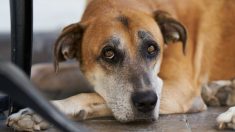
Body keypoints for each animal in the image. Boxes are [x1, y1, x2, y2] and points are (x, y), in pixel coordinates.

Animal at [4, 0, 235, 131]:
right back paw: (221, 91)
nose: (147, 102)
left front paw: (41, 111)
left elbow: (94, 96)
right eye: (109, 53)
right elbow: (37, 71)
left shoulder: (180, 90)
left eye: (152, 48)